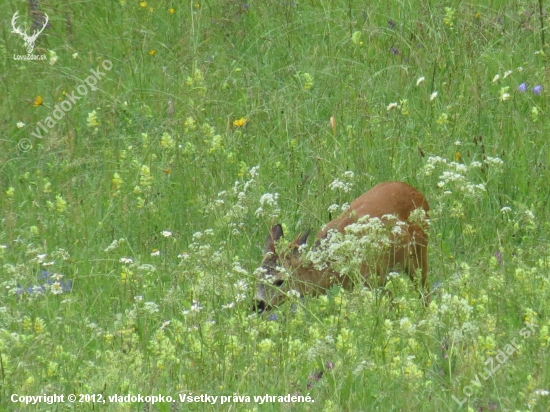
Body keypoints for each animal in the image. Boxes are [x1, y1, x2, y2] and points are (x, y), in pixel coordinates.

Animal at [254, 182, 432, 310]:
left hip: (419, 249)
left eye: (280, 281)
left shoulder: (372, 278)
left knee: (425, 291)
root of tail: (417, 192)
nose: (258, 304)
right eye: (257, 277)